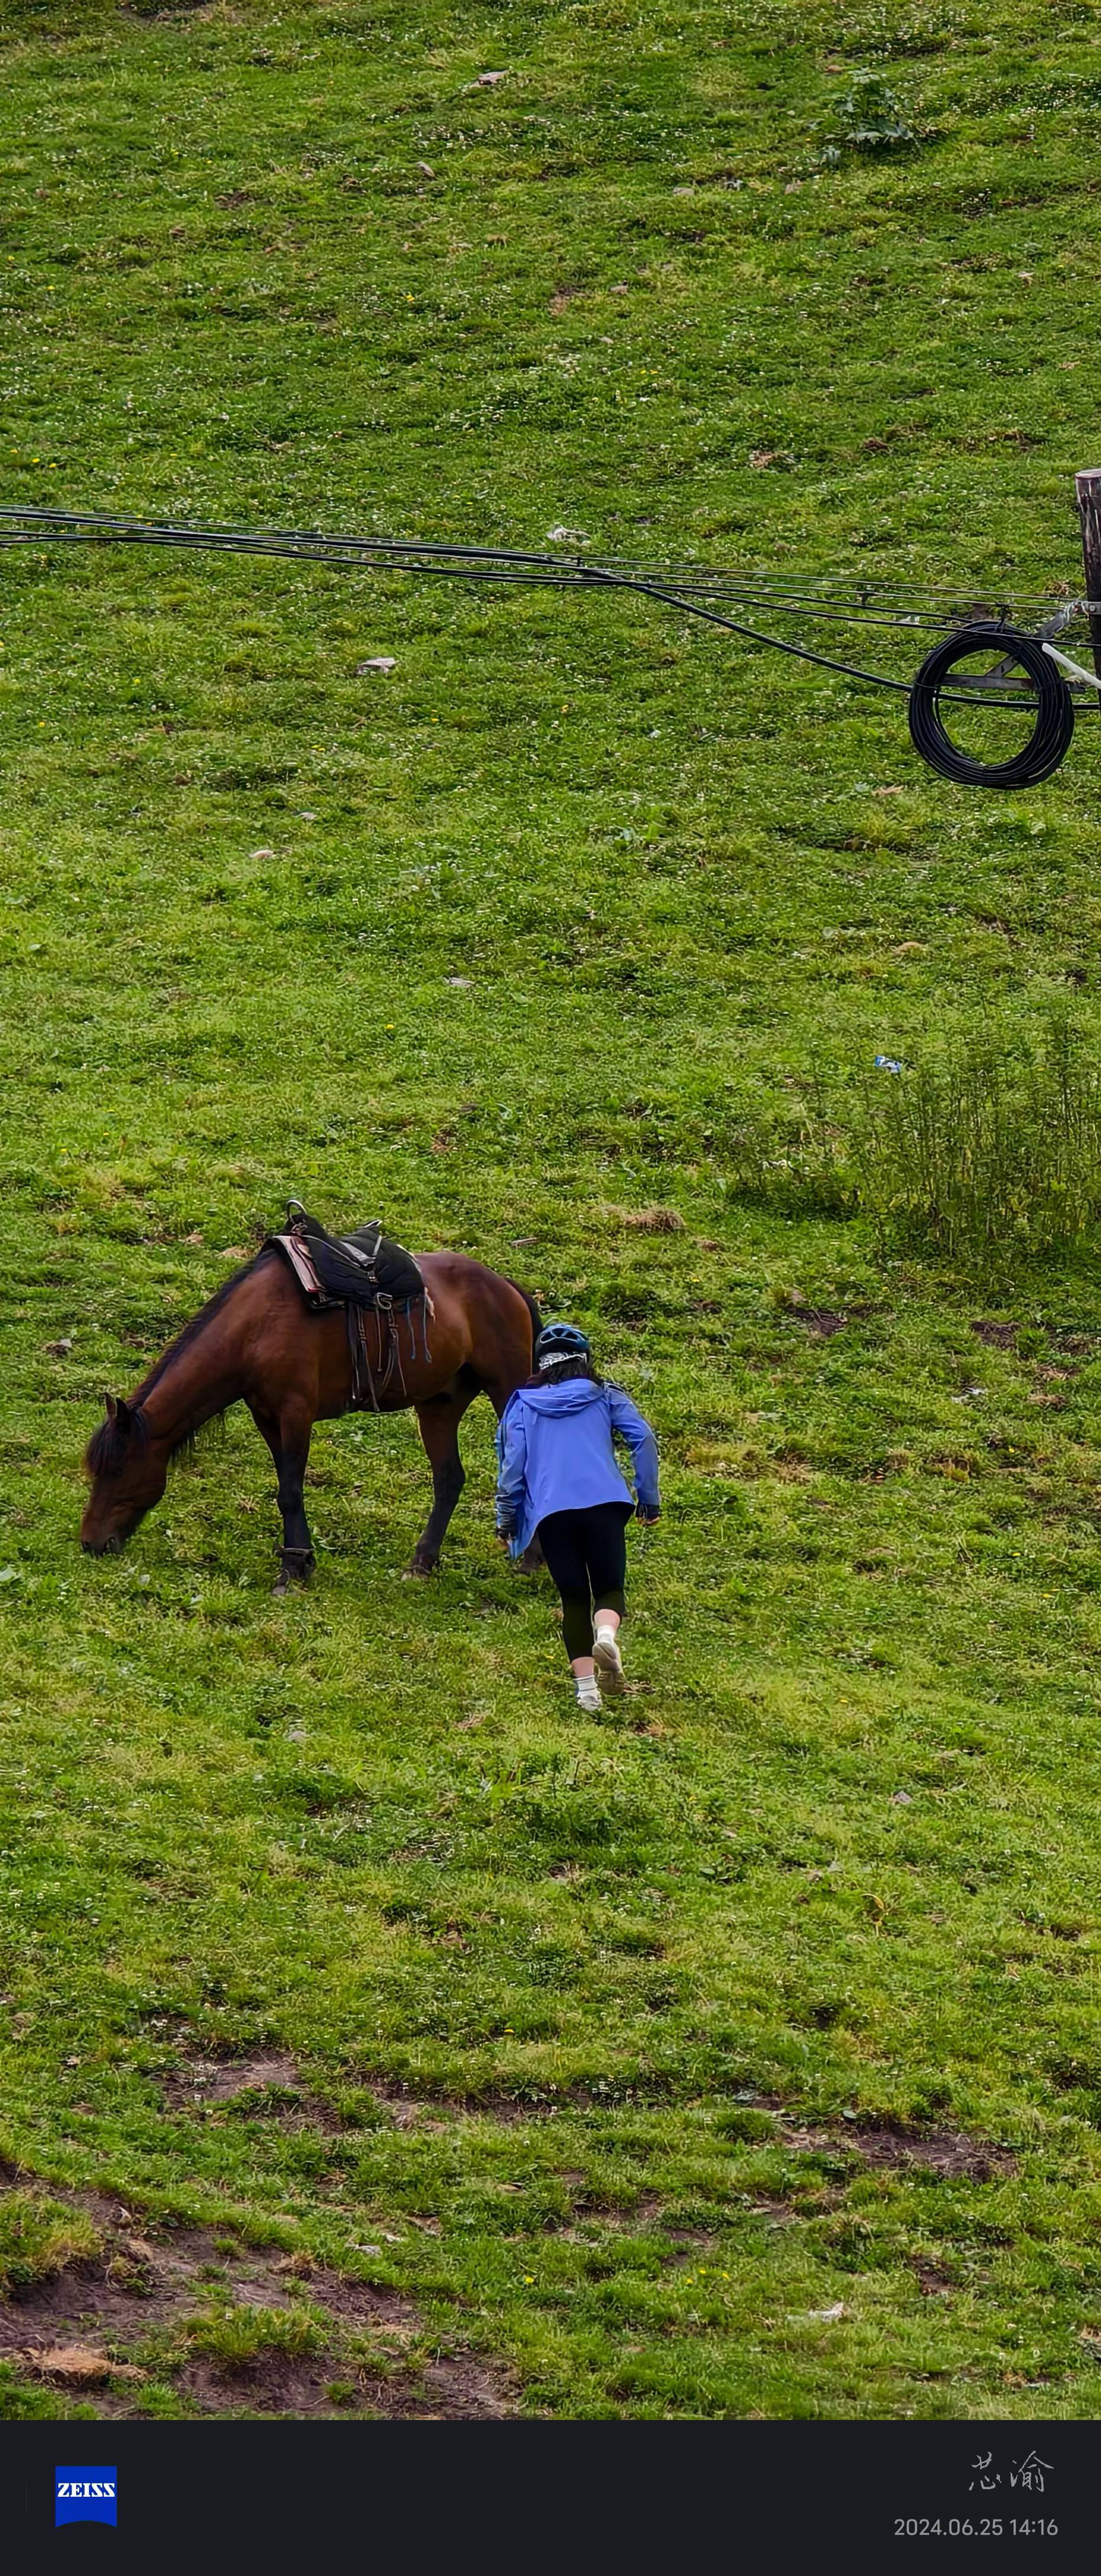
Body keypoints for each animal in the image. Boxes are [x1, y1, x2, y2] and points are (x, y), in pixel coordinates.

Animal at [80, 1248, 540, 1588]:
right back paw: (421, 1563)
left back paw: (530, 1562)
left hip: (507, 1390)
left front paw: (291, 1570)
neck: (255, 1327)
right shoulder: (267, 1417)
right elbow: (288, 1487)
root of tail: (508, 1287)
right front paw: (300, 1561)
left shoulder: (296, 1413)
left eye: (117, 1470)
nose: (90, 1543)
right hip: (440, 1405)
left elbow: (290, 1492)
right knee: (448, 1479)